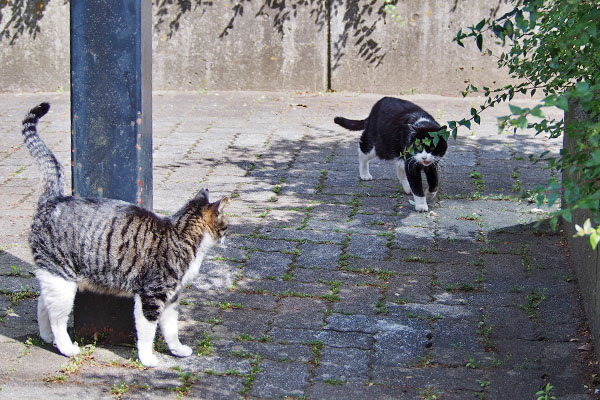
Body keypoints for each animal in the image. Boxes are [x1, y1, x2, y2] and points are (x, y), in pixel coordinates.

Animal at [21, 102, 227, 366]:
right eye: (226, 224)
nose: (227, 235)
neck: (181, 232)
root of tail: (53, 199)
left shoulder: (171, 298)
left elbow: (171, 329)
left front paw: (178, 350)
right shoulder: (151, 295)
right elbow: (148, 332)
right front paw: (147, 359)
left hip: (54, 278)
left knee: (42, 304)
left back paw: (47, 337)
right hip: (63, 281)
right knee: (57, 318)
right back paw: (67, 347)